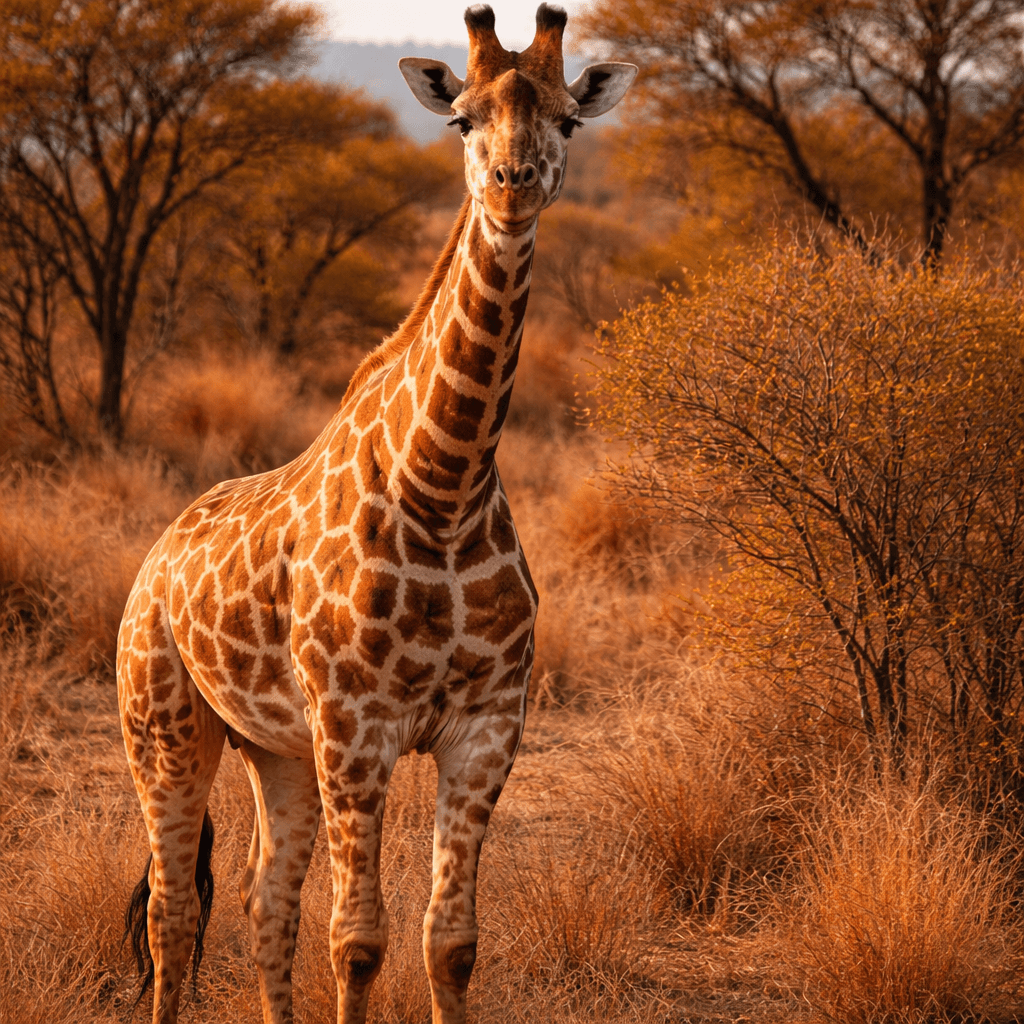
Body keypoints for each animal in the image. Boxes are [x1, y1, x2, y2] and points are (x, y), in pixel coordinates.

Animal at [117, 6, 635, 1023]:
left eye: (567, 121)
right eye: (463, 121)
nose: (513, 186)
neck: (444, 489)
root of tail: (154, 558)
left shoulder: (486, 727)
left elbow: (450, 944)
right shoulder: (357, 728)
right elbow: (358, 943)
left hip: (273, 749)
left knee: (262, 898)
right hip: (163, 728)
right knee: (173, 913)